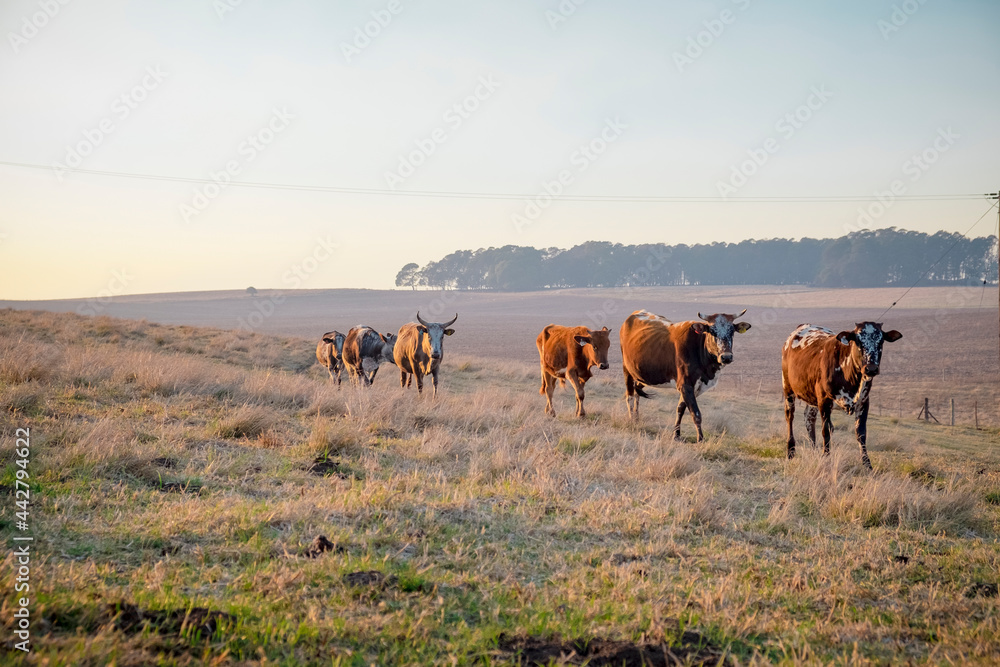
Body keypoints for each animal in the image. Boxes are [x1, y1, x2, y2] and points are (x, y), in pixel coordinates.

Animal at [616, 310, 752, 444]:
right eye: (712, 331)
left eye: (732, 331)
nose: (726, 357)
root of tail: (634, 314)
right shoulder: (685, 385)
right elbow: (696, 414)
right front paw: (700, 439)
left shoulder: (695, 387)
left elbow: (680, 408)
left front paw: (676, 435)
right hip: (627, 369)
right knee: (630, 396)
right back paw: (632, 420)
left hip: (644, 375)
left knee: (637, 392)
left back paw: (636, 418)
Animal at [780, 320, 908, 468]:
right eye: (858, 341)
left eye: (881, 341)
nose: (871, 368)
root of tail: (803, 326)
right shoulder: (824, 401)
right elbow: (826, 430)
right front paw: (826, 457)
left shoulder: (864, 402)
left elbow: (861, 433)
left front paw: (867, 464)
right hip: (788, 387)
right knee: (790, 416)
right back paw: (790, 451)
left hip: (811, 397)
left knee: (809, 419)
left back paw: (813, 451)